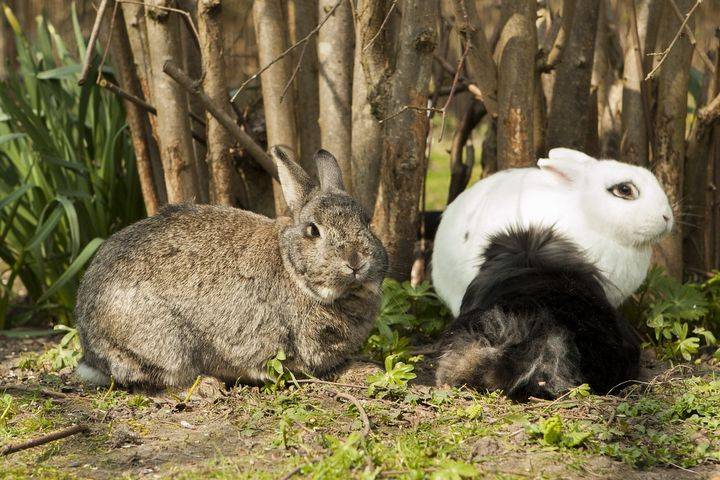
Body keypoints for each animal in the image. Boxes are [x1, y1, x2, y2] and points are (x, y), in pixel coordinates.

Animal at [74, 146, 388, 390]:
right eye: (313, 230)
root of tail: (90, 342)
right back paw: (206, 388)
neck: (292, 268)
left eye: (367, 222)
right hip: (167, 343)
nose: (356, 261)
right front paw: (368, 371)